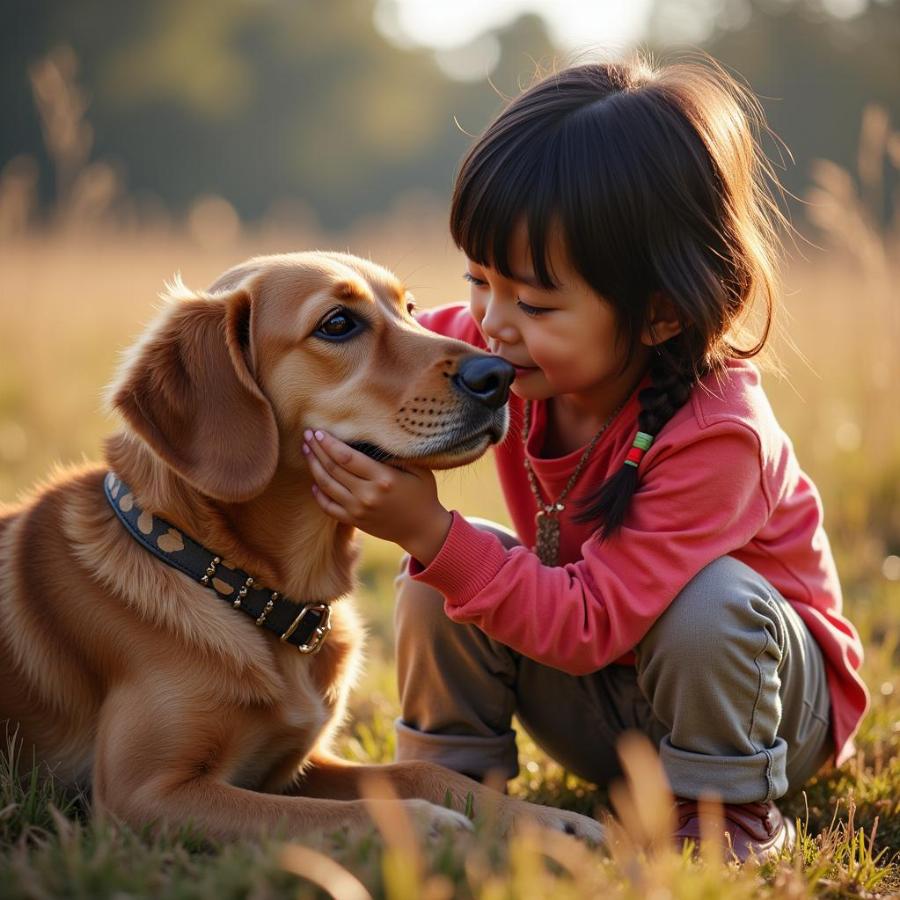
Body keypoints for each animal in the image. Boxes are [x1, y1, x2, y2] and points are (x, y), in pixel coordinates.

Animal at [1, 251, 604, 844]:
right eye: (337, 324)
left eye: (410, 309)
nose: (499, 375)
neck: (228, 579)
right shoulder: (141, 794)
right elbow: (329, 818)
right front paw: (430, 825)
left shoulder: (300, 765)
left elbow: (418, 771)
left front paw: (546, 820)